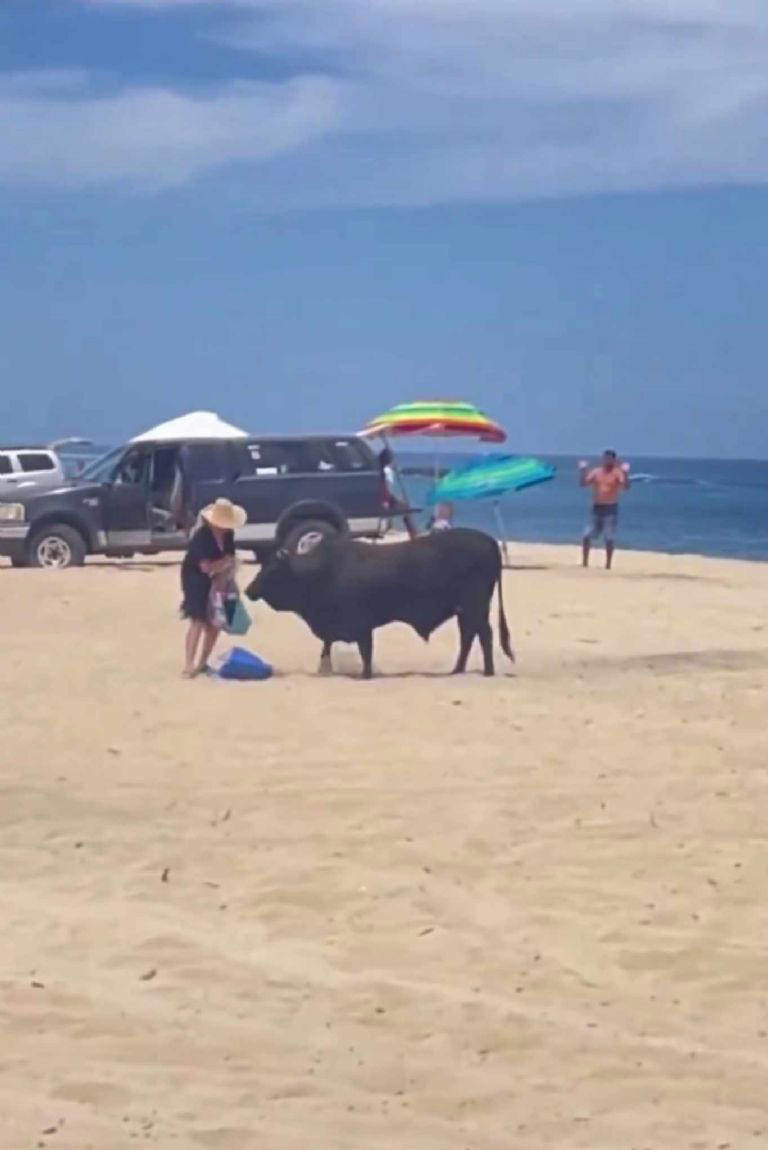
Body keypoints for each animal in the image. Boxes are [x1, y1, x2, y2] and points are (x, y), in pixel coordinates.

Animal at [242, 526, 512, 676]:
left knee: (484, 635)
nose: (248, 590)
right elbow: (328, 648)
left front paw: (365, 675)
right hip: (465, 611)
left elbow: (365, 652)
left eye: (272, 571)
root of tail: (489, 542)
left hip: (475, 606)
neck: (323, 571)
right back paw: (457, 670)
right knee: (468, 636)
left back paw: (487, 671)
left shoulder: (362, 625)